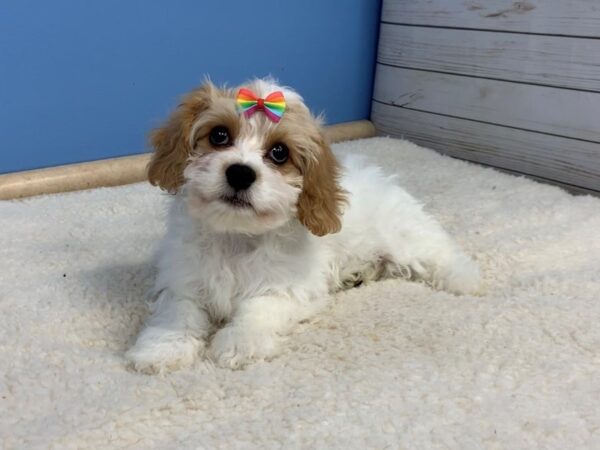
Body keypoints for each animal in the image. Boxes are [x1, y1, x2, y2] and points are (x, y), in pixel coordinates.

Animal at [125, 78, 478, 372]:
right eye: (219, 135)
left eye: (279, 153)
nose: (240, 172)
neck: (237, 236)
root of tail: (385, 179)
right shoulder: (183, 281)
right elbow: (178, 314)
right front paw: (163, 348)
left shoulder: (287, 288)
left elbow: (258, 308)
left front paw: (240, 343)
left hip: (405, 238)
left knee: (438, 252)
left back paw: (466, 279)